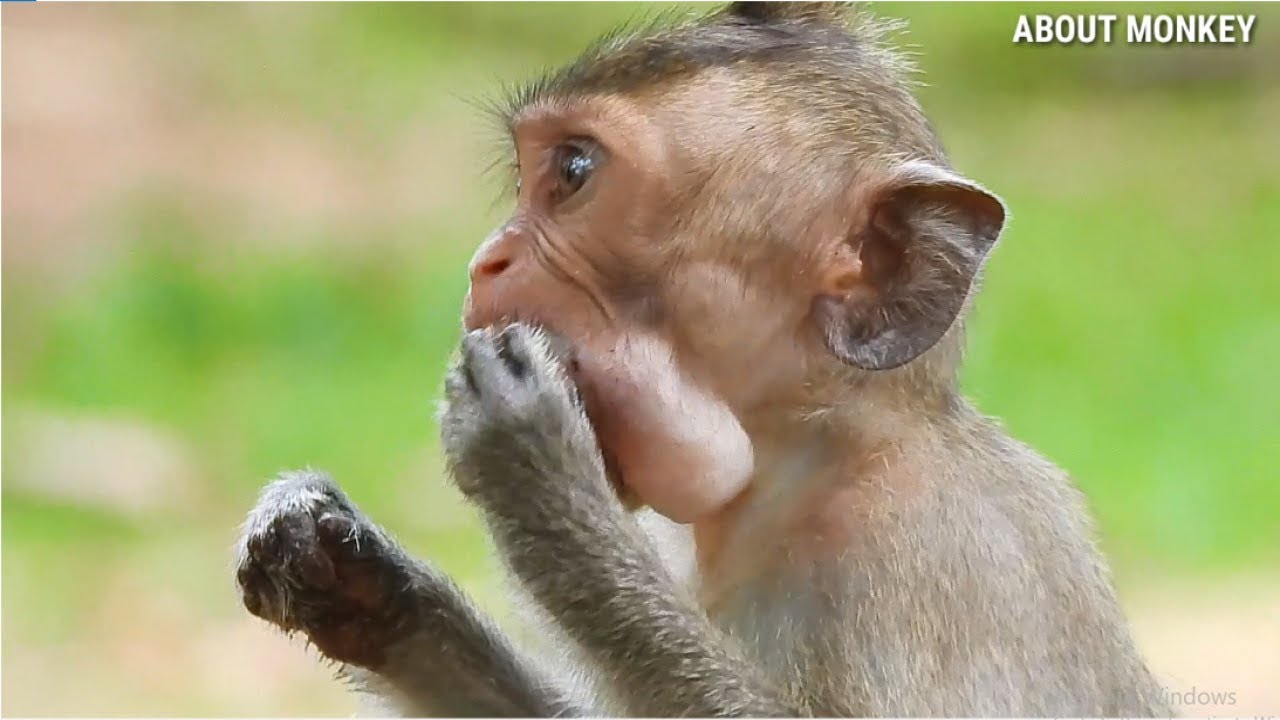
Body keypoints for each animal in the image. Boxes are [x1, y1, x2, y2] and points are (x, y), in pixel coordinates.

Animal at [235, 2, 1171, 716]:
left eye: (574, 171)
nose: (484, 260)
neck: (802, 468)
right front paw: (357, 575)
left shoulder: (936, 557)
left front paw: (536, 471)